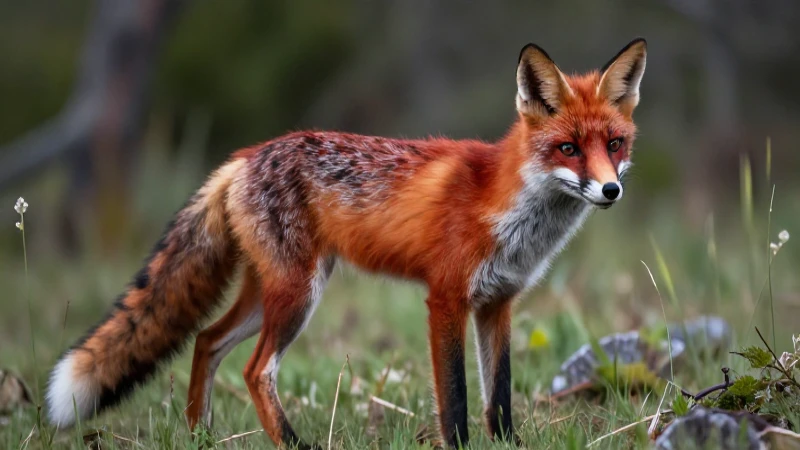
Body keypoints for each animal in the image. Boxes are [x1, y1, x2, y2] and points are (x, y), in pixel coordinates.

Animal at [46, 38, 646, 448]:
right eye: (568, 148)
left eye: (614, 145)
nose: (612, 190)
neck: (509, 210)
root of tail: (245, 156)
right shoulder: (446, 299)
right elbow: (455, 400)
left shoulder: (497, 303)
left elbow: (497, 397)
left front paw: (506, 445)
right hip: (297, 295)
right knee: (255, 370)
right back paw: (291, 443)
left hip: (270, 293)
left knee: (206, 341)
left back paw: (201, 436)